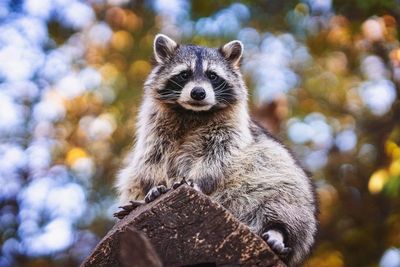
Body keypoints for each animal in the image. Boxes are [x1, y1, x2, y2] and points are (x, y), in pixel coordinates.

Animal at [115, 34, 318, 266]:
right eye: (184, 74)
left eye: (212, 76)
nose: (198, 93)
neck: (192, 112)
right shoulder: (154, 127)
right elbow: (151, 160)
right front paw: (155, 186)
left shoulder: (231, 129)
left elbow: (219, 157)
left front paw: (198, 180)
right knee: (132, 178)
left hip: (285, 182)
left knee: (285, 202)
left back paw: (277, 232)